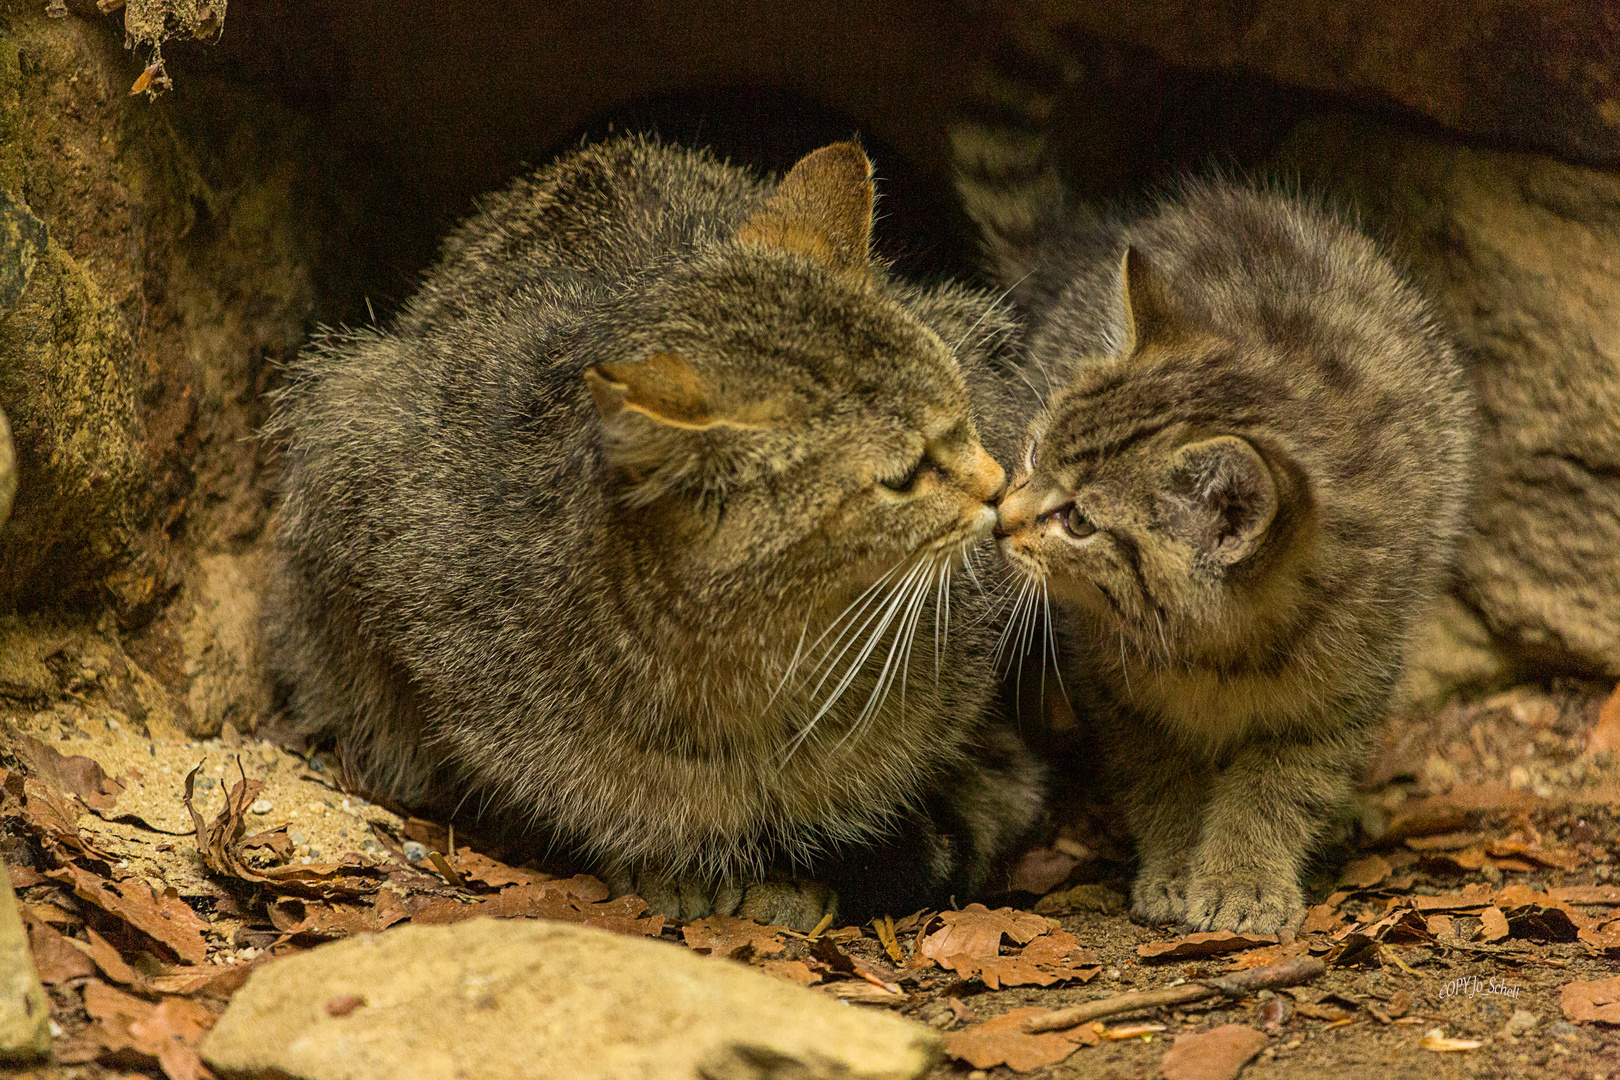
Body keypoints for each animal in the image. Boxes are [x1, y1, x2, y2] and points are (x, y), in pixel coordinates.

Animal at [952, 114, 1477, 932]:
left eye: (1078, 521)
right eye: (1033, 454)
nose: (1003, 519)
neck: (1216, 651)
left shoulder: (1345, 688)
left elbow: (1283, 782)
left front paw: (1244, 878)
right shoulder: (1113, 690)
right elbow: (1157, 775)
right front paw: (1176, 865)